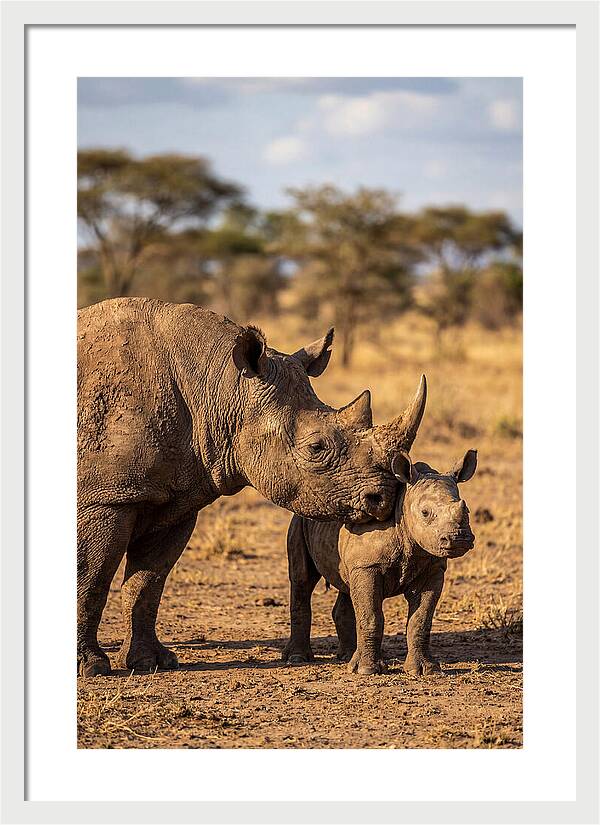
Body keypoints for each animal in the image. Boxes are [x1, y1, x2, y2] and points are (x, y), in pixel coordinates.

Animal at [77, 298, 425, 676]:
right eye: (316, 448)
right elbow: (91, 576)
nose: (383, 498)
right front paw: (91, 667)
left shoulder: (176, 498)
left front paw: (150, 662)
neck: (220, 387)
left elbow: (148, 582)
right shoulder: (107, 498)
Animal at [282, 441, 477, 676]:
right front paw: (367, 670)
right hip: (300, 520)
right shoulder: (368, 566)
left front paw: (425, 670)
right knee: (302, 580)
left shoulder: (432, 568)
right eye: (425, 513)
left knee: (347, 586)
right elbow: (371, 616)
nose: (459, 539)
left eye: (467, 510)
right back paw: (297, 658)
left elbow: (421, 620)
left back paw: (348, 657)